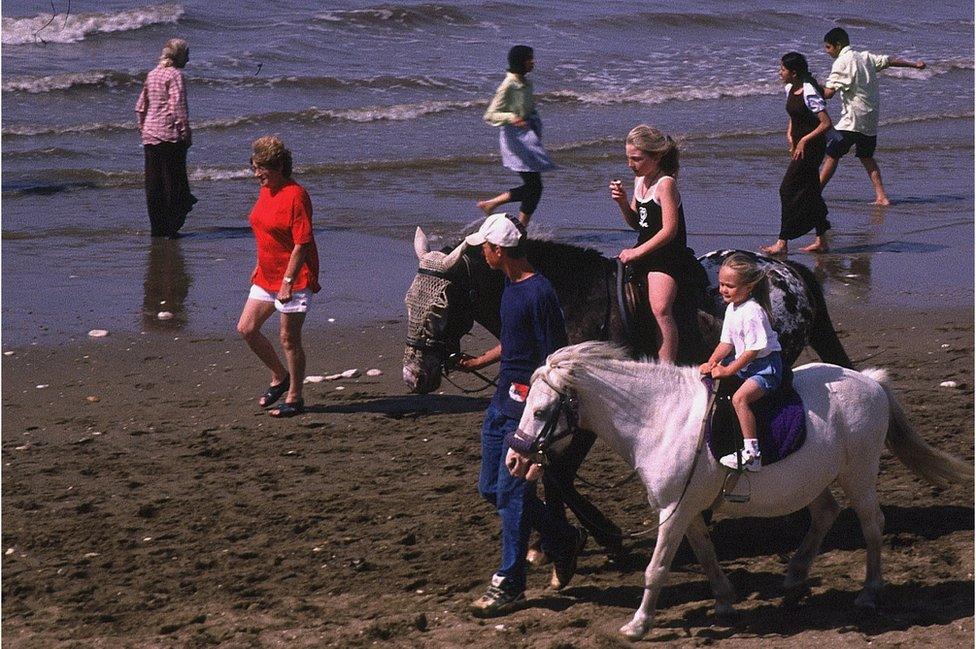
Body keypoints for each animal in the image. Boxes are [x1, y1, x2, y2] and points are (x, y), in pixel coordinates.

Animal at [508, 342, 972, 640]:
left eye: (541, 411)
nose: (514, 459)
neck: (659, 417)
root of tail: (871, 382)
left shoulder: (673, 511)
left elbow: (656, 569)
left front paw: (638, 625)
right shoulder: (685, 510)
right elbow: (705, 554)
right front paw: (725, 602)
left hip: (858, 476)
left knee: (872, 524)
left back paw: (869, 593)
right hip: (811, 480)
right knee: (825, 513)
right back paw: (795, 574)